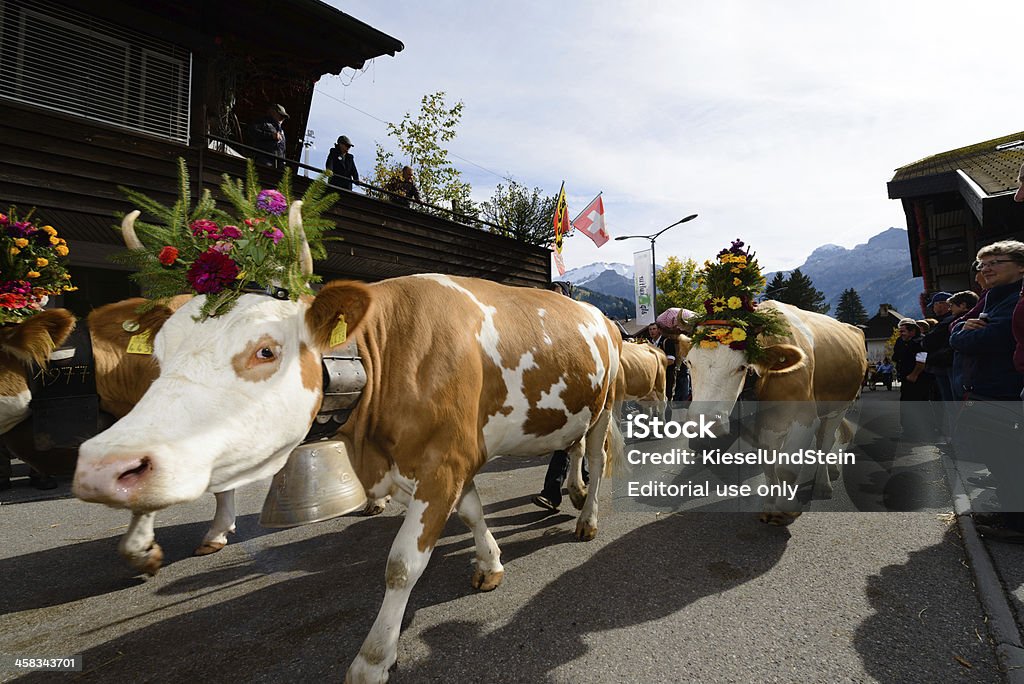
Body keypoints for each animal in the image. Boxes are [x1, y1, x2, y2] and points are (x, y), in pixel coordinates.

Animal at [74, 204, 622, 684]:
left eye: (266, 350)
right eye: (158, 352)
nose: (104, 466)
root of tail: (597, 313)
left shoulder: (443, 462)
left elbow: (402, 566)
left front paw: (373, 659)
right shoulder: (443, 459)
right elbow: (470, 512)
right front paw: (489, 563)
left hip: (605, 406)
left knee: (596, 459)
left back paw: (587, 517)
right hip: (573, 411)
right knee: (571, 447)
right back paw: (569, 491)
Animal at [679, 298, 864, 524]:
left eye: (742, 367)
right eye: (689, 362)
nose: (703, 423)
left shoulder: (805, 419)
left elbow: (786, 469)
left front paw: (786, 508)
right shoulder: (763, 426)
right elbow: (769, 465)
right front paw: (770, 502)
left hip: (839, 408)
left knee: (825, 442)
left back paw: (823, 485)